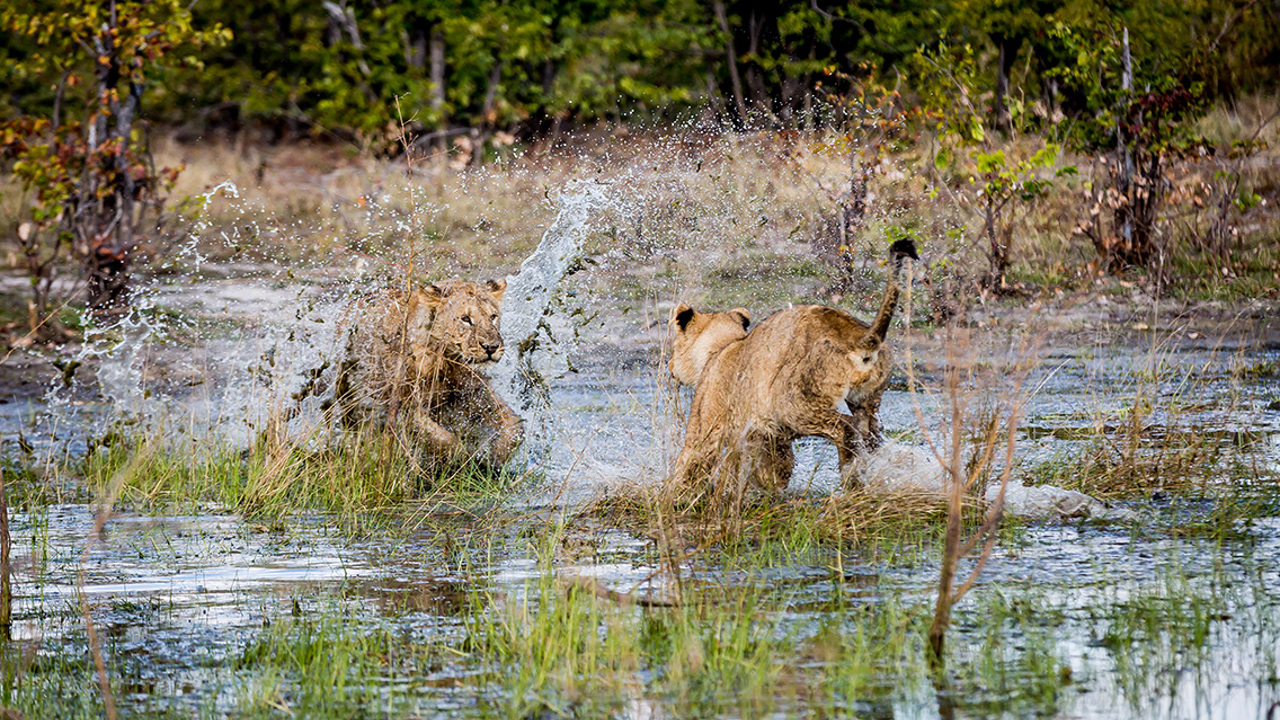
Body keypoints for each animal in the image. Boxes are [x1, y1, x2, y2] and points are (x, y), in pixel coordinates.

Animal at [332, 278, 523, 469]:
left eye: (493, 316)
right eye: (465, 319)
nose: (491, 347)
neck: (448, 362)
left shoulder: (475, 393)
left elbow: (514, 425)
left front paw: (497, 456)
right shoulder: (406, 406)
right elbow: (444, 440)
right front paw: (464, 460)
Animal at [669, 238, 918, 501]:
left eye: (674, 345)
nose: (670, 365)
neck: (723, 345)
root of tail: (859, 335)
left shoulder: (706, 426)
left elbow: (690, 463)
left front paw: (673, 498)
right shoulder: (770, 437)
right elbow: (774, 471)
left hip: (793, 402)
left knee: (845, 428)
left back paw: (850, 480)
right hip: (867, 401)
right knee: (870, 435)